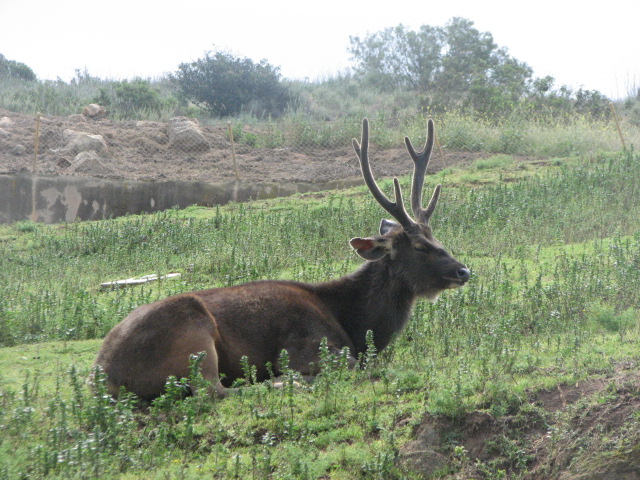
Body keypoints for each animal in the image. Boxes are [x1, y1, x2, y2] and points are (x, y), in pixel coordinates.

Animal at [93, 118, 470, 401]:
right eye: (419, 246)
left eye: (436, 236)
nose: (463, 270)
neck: (356, 324)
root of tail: (103, 377)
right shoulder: (306, 345)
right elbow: (349, 364)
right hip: (193, 335)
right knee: (214, 391)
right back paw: (276, 382)